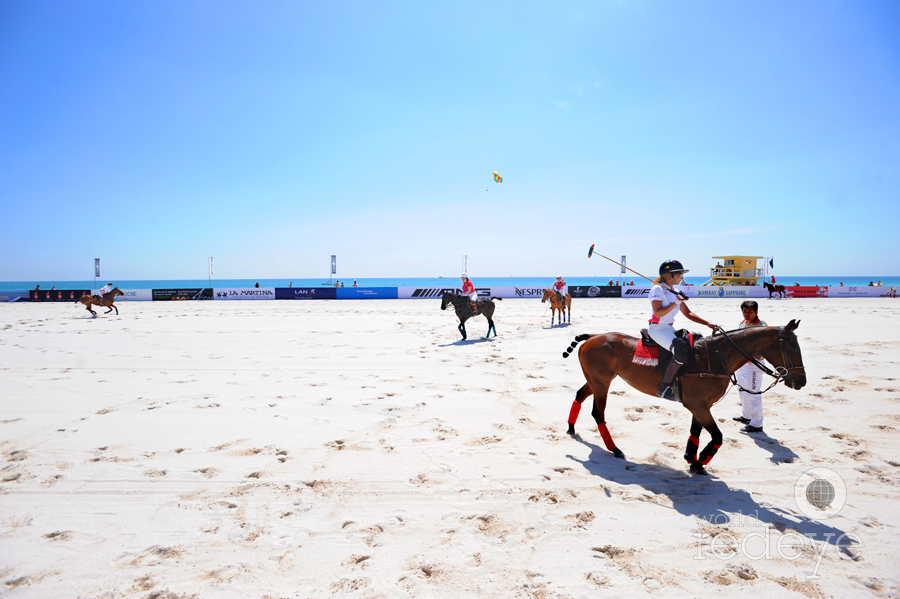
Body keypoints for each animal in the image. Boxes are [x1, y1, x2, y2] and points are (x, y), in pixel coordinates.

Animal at [560, 322, 804, 476]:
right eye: (793, 348)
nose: (801, 381)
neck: (716, 358)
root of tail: (592, 337)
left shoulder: (701, 405)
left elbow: (696, 432)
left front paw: (693, 459)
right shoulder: (698, 405)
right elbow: (717, 436)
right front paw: (701, 459)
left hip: (596, 380)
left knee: (579, 395)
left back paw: (571, 428)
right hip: (602, 382)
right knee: (598, 413)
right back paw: (615, 449)